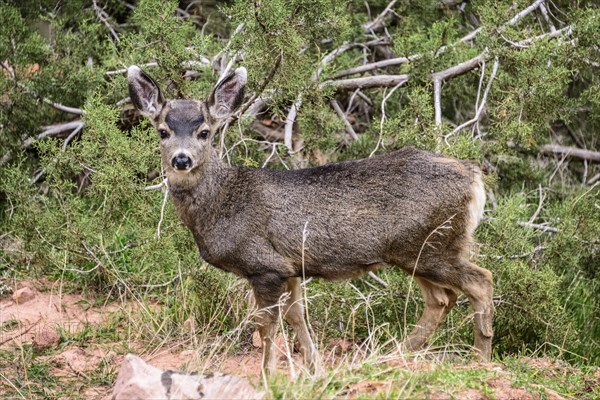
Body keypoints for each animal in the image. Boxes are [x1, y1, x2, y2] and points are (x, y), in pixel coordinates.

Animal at [126, 64, 492, 374]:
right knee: (441, 298)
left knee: (480, 281)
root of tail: (474, 177)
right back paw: (393, 354)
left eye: (204, 132)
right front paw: (315, 368)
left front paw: (268, 375)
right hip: (417, 250)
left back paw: (480, 358)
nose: (181, 159)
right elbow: (297, 317)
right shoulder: (290, 268)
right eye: (162, 131)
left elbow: (267, 326)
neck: (221, 204)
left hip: (430, 245)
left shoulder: (265, 266)